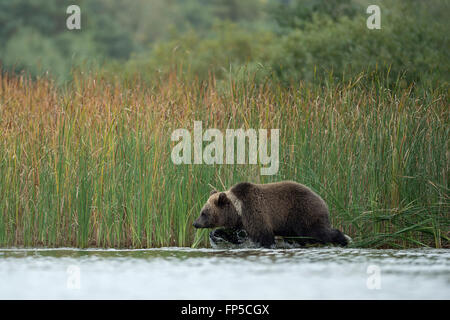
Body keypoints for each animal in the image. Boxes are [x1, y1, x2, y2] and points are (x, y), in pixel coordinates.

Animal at [192, 182, 350, 248]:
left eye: (203, 213)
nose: (195, 223)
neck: (238, 210)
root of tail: (322, 200)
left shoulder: (255, 212)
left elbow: (264, 235)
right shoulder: (241, 222)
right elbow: (233, 234)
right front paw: (215, 233)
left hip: (303, 212)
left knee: (316, 232)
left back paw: (343, 240)